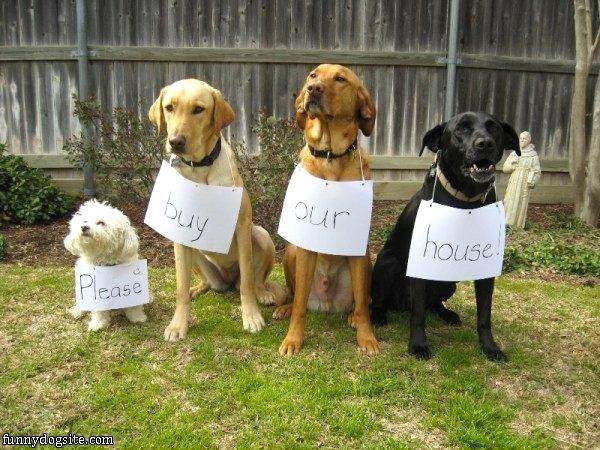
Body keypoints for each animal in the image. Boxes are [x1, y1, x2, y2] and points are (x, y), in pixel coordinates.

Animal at [63, 200, 147, 330]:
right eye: (85, 221)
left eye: (101, 223)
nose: (84, 227)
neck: (107, 262)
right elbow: (98, 310)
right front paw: (99, 324)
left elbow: (134, 305)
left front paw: (137, 317)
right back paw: (77, 311)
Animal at [148, 78, 284, 342]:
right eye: (169, 107)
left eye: (198, 109)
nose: (176, 142)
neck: (200, 168)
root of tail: (228, 279)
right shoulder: (179, 234)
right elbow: (179, 287)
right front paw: (178, 324)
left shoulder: (242, 228)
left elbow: (247, 285)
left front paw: (251, 316)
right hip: (199, 260)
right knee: (209, 284)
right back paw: (197, 288)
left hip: (261, 235)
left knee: (253, 281)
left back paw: (263, 293)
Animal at [276, 63, 380, 356]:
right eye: (313, 75)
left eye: (340, 79)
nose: (313, 89)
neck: (332, 157)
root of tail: (326, 303)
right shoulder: (304, 244)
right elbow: (300, 306)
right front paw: (293, 339)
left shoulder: (358, 247)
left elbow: (364, 306)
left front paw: (367, 337)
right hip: (291, 253)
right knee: (296, 295)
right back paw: (285, 307)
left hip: (366, 260)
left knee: (360, 301)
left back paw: (353, 316)